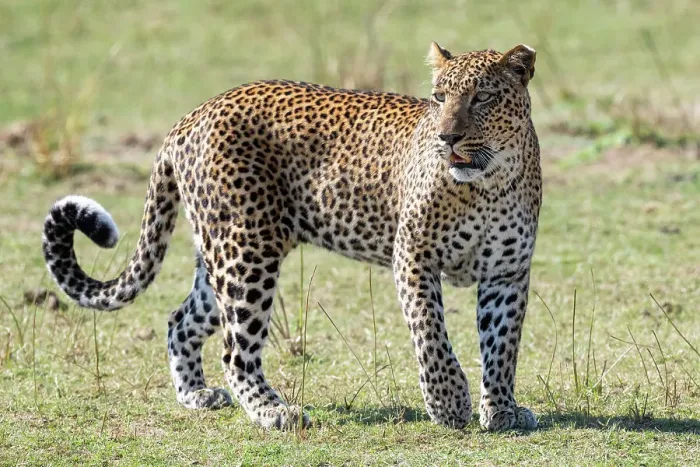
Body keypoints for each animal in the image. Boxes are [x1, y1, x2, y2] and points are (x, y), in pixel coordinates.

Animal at [42, 42, 541, 431]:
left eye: (482, 97)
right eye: (439, 97)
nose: (446, 137)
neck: (489, 183)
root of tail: (191, 116)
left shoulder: (507, 273)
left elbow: (502, 346)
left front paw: (502, 410)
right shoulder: (413, 257)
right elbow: (430, 331)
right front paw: (448, 402)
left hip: (221, 253)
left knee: (181, 320)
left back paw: (197, 397)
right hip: (248, 251)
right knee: (235, 350)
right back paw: (274, 412)